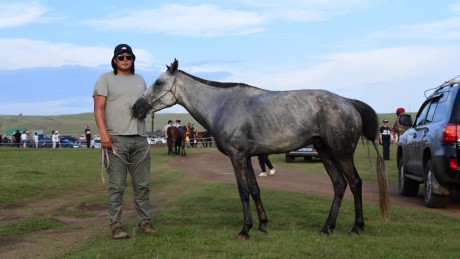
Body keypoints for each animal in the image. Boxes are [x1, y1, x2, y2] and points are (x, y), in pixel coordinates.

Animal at [132, 59, 388, 242]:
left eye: (158, 82)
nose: (136, 107)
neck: (222, 104)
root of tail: (348, 101)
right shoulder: (247, 157)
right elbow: (255, 189)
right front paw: (262, 225)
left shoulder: (237, 156)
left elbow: (243, 190)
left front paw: (245, 230)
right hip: (324, 150)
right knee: (339, 184)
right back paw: (327, 227)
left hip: (341, 152)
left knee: (354, 183)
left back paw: (356, 227)